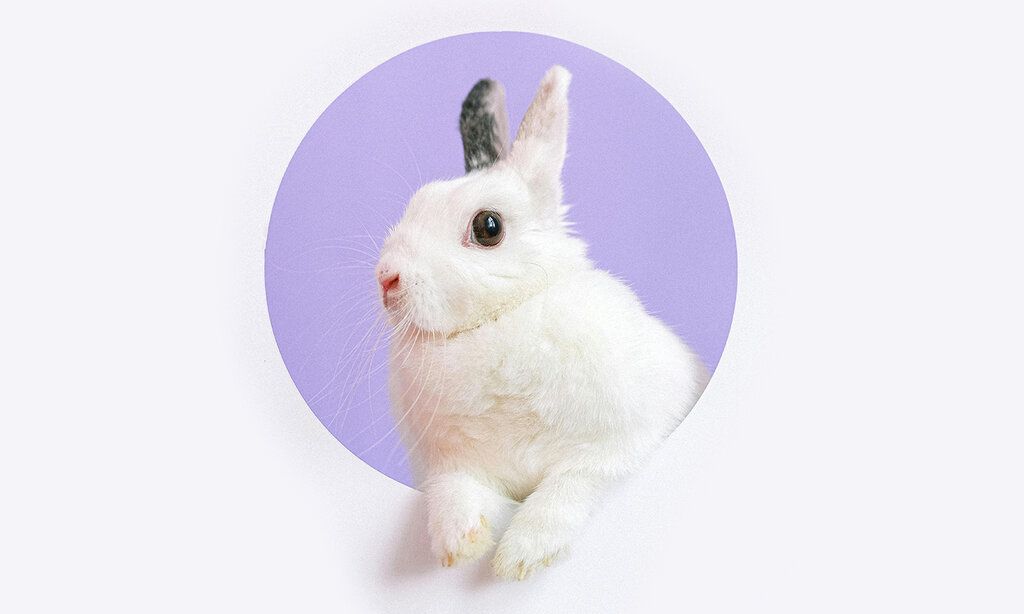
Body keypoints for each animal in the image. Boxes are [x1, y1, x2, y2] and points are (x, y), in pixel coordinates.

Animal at [374, 66, 709, 580]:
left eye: (488, 227)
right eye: (417, 202)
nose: (386, 278)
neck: (500, 319)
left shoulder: (620, 445)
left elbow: (568, 488)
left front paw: (521, 556)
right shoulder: (450, 464)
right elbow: (454, 492)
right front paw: (459, 544)